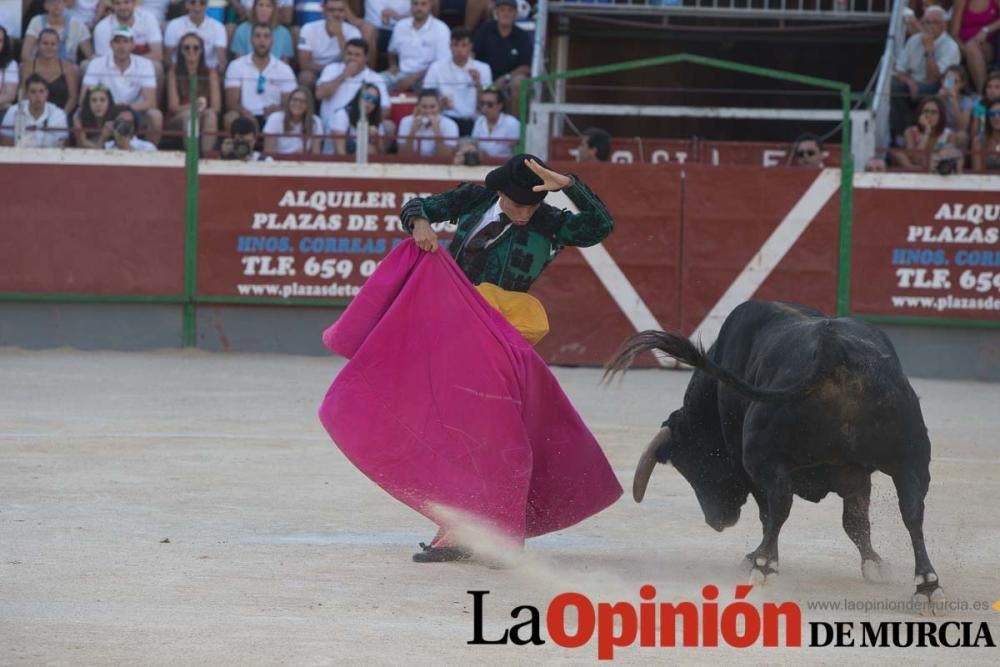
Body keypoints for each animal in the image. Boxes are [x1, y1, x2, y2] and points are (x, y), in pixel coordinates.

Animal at [604, 302, 940, 612]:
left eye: (693, 467)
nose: (717, 521)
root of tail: (833, 350)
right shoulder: (854, 474)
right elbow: (855, 522)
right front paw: (874, 563)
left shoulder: (746, 463)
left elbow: (770, 514)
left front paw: (758, 557)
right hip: (911, 461)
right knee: (912, 512)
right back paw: (927, 584)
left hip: (761, 457)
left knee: (778, 505)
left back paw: (763, 565)